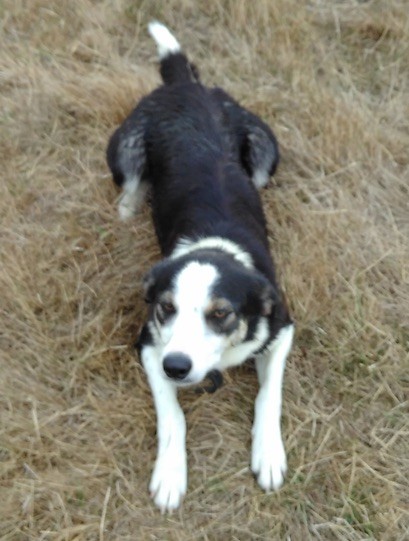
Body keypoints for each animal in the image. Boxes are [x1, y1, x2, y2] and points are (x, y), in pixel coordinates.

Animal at [106, 22, 294, 512]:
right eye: (165, 308)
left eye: (221, 313)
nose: (177, 367)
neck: (215, 245)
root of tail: (185, 85)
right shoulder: (149, 345)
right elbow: (173, 416)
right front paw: (170, 476)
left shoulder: (282, 326)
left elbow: (270, 394)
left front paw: (269, 454)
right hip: (124, 148)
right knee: (132, 181)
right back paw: (128, 207)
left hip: (267, 151)